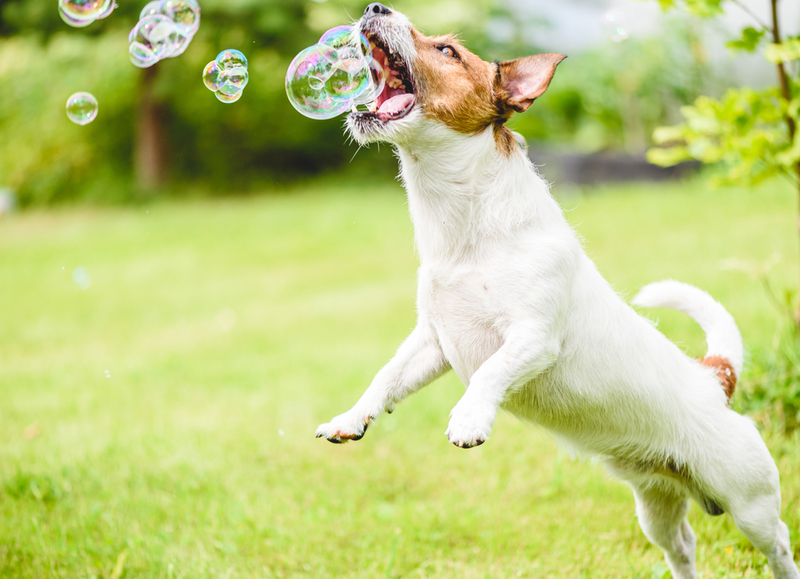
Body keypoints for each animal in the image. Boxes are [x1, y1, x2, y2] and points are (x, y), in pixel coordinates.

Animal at [314, 5, 800, 579]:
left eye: (448, 51)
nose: (376, 9)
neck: (467, 231)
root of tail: (715, 379)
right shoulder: (433, 342)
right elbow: (386, 378)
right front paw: (350, 419)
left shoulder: (534, 336)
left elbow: (491, 371)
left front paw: (469, 418)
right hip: (655, 503)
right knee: (682, 545)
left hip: (750, 502)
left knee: (779, 543)